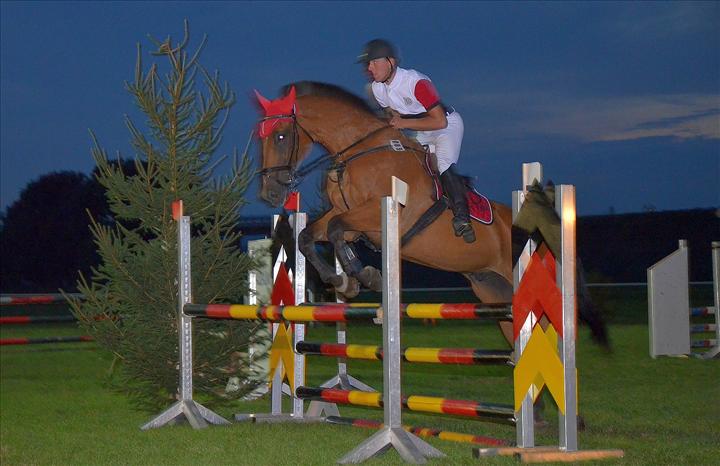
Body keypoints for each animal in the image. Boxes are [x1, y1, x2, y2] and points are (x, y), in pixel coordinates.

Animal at [254, 81, 608, 347]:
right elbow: (309, 236)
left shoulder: (383, 215)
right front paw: (342, 280)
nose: (269, 194)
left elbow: (338, 229)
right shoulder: (347, 216)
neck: (356, 152)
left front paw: (364, 275)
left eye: (281, 135)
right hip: (494, 292)